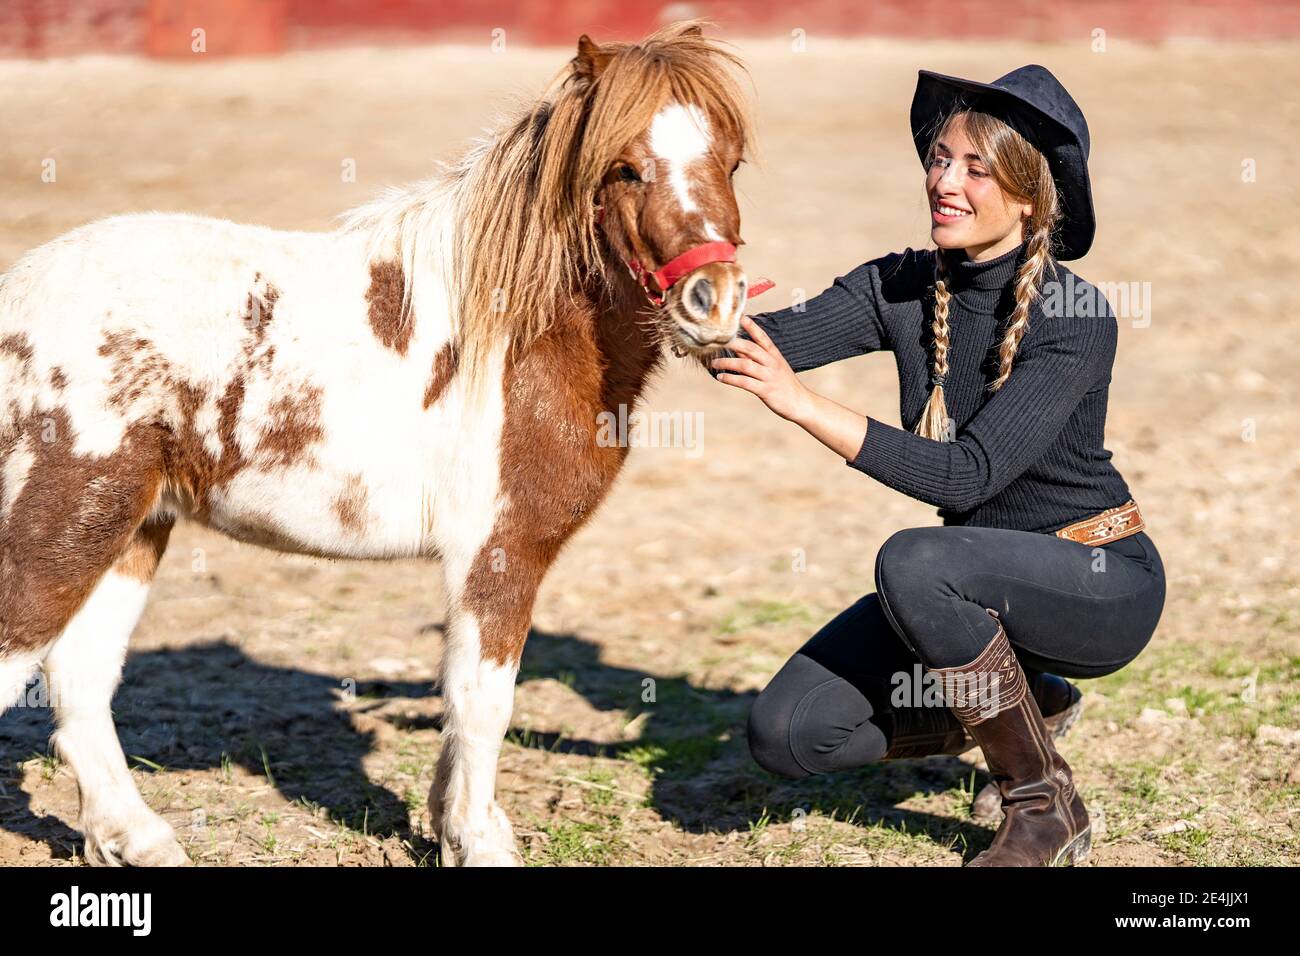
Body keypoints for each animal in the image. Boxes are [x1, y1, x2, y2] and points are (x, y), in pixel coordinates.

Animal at [0, 22, 759, 868]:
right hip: (58, 531)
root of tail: (18, 299)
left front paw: (456, 827)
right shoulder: (499, 552)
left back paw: (137, 840)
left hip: (130, 528)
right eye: (623, 168)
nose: (715, 302)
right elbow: (483, 699)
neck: (514, 335)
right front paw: (476, 841)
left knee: (81, 679)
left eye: (732, 162)